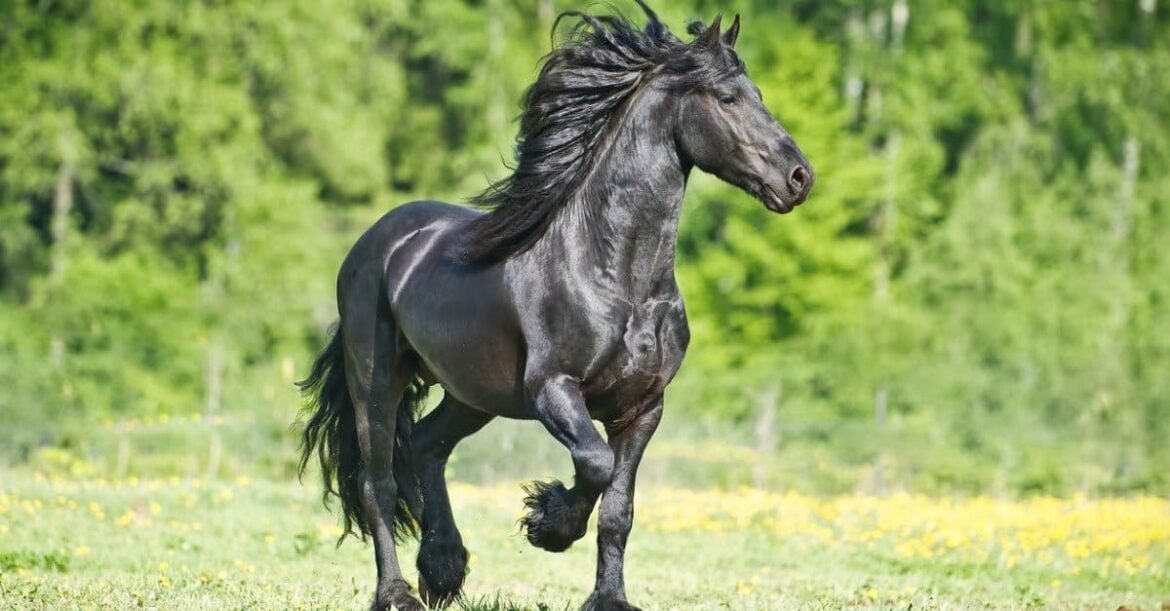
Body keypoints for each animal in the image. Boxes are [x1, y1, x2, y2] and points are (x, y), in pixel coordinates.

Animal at [297, 2, 813, 609]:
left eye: (757, 93)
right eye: (729, 99)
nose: (799, 178)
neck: (618, 279)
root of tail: (375, 242)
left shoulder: (644, 407)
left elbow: (618, 510)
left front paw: (608, 597)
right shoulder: (553, 390)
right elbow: (594, 464)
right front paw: (549, 524)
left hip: (472, 392)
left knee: (427, 445)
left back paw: (444, 568)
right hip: (376, 381)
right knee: (377, 482)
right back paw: (398, 592)